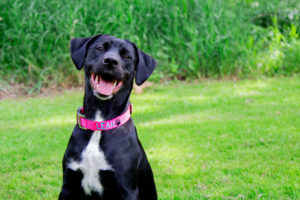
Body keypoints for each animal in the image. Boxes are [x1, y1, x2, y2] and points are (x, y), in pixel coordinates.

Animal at [58, 33, 157, 199]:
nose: (110, 61)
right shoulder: (68, 185)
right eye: (99, 48)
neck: (100, 123)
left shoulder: (127, 188)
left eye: (127, 56)